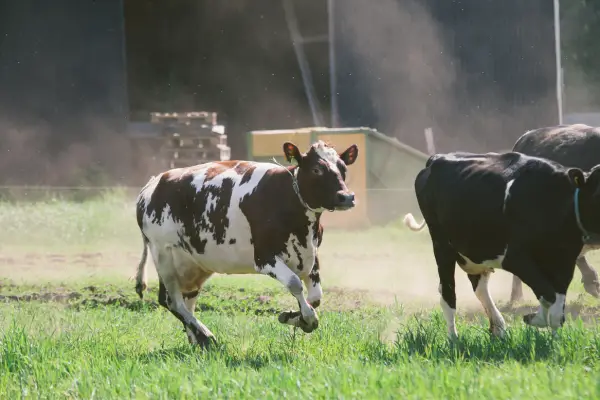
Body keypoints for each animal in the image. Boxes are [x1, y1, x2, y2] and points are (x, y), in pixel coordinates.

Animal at [134, 141, 358, 346]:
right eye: (316, 169)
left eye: (343, 168)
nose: (346, 197)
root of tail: (152, 184)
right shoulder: (264, 257)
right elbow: (295, 283)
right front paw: (308, 319)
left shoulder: (311, 254)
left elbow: (316, 297)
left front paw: (295, 316)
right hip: (163, 254)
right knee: (170, 300)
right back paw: (206, 335)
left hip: (193, 264)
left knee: (186, 299)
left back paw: (196, 338)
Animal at [400, 150, 600, 338]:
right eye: (597, 194)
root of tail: (436, 158)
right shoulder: (515, 258)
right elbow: (548, 295)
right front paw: (536, 319)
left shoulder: (564, 262)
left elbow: (556, 305)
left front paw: (552, 338)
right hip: (441, 245)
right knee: (448, 294)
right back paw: (453, 339)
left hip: (475, 251)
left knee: (479, 287)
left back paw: (498, 328)